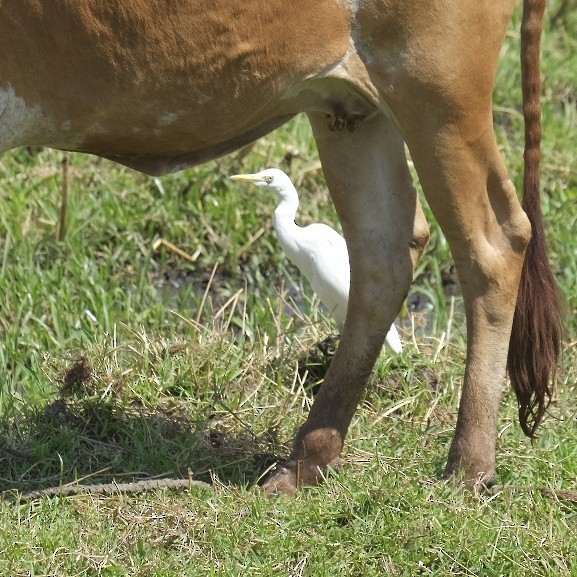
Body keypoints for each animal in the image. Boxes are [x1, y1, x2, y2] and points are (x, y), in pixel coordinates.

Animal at [0, 0, 560, 492]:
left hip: (437, 91)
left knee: (493, 244)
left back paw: (468, 469)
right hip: (350, 107)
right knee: (382, 251)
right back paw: (309, 458)